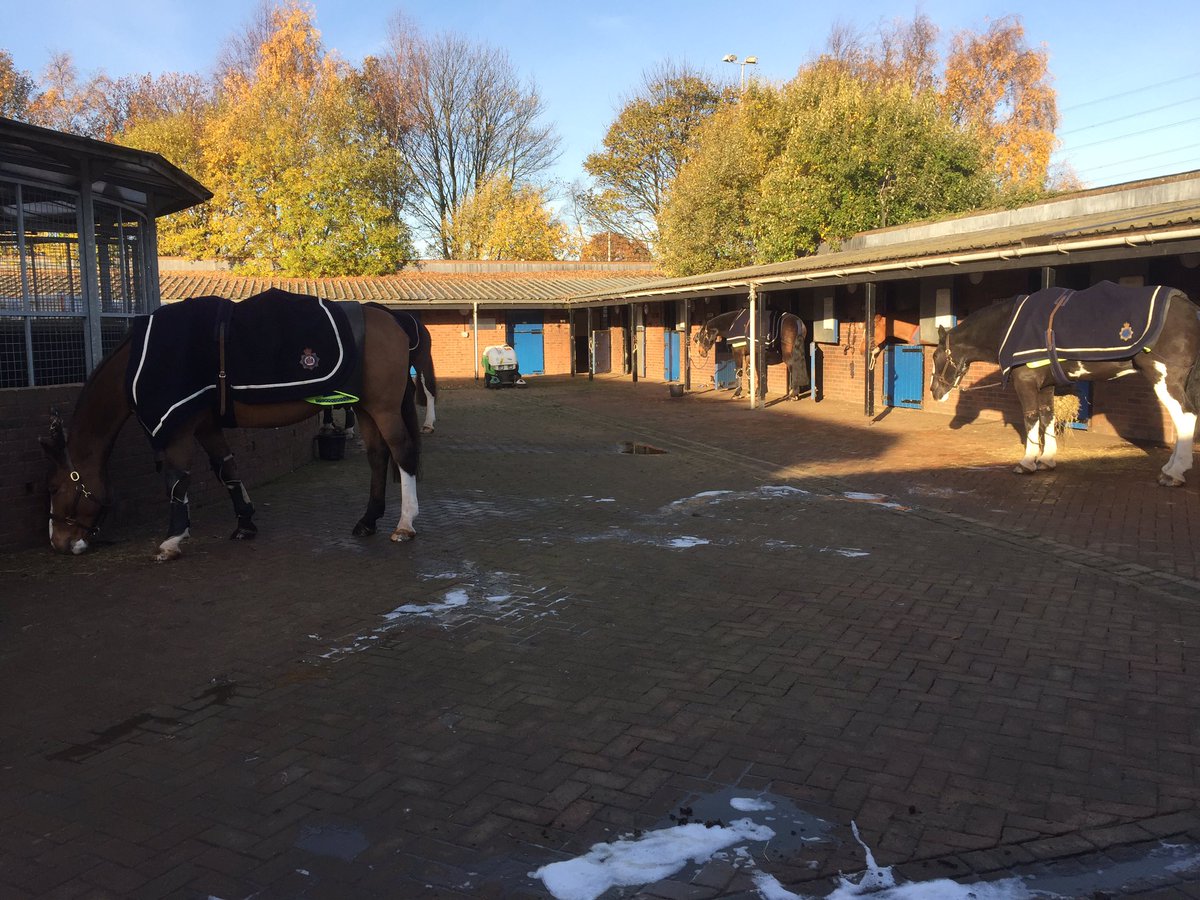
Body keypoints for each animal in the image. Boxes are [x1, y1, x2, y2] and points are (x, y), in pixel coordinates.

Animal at [41, 300, 422, 561]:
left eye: (57, 487)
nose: (58, 542)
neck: (140, 362)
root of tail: (388, 316)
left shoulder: (179, 429)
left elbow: (177, 480)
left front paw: (172, 540)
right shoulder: (207, 427)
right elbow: (227, 470)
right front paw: (245, 523)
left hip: (383, 409)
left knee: (401, 452)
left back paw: (405, 525)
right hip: (365, 408)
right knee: (377, 456)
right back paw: (368, 520)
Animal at [930, 284, 1200, 485]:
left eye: (935, 356)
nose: (934, 392)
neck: (1009, 325)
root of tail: (1190, 309)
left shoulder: (1025, 383)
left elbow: (1031, 419)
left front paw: (1027, 463)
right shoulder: (1046, 386)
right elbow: (1047, 417)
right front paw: (1046, 459)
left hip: (1165, 379)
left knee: (1185, 416)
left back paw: (1174, 472)